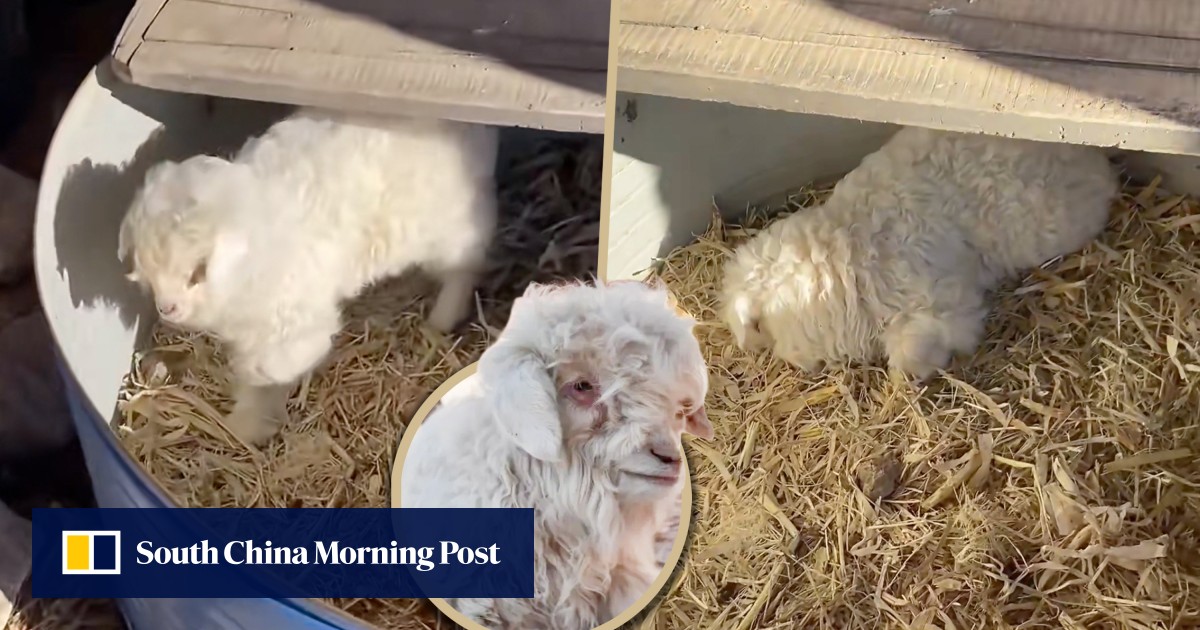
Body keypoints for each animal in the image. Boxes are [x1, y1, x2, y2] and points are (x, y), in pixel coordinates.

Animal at [117, 107, 500, 445]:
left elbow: (270, 368)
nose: (167, 309)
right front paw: (249, 424)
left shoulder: (291, 323)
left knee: (465, 265)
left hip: (450, 229)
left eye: (198, 272)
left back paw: (442, 318)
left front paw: (250, 419)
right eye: (146, 269)